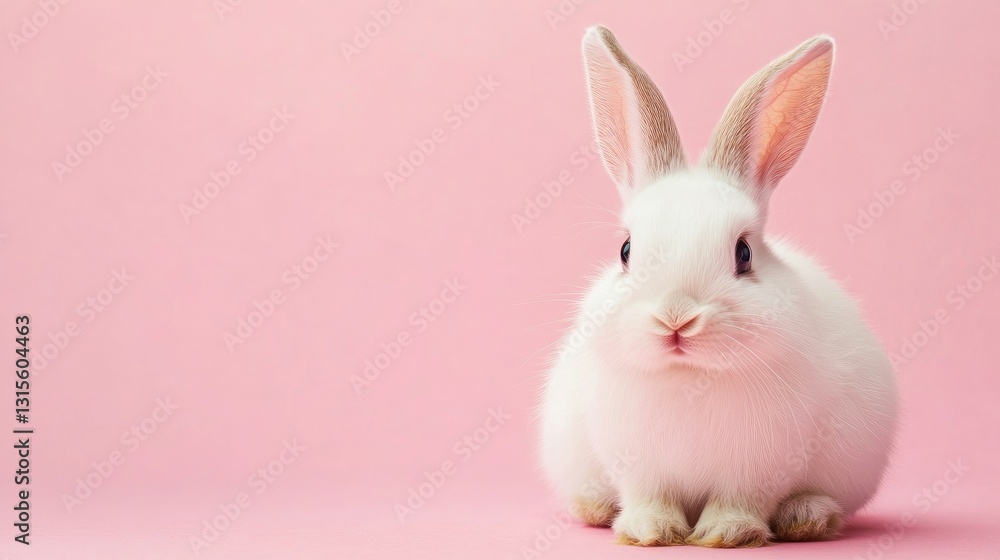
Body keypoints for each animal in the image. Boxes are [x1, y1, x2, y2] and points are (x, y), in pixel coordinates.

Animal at [538, 26, 899, 548]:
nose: (676, 318)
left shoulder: (759, 468)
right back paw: (595, 508)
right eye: (625, 250)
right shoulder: (637, 465)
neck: (690, 377)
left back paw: (807, 517)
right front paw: (650, 532)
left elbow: (740, 500)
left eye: (743, 253)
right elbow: (649, 496)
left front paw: (727, 534)